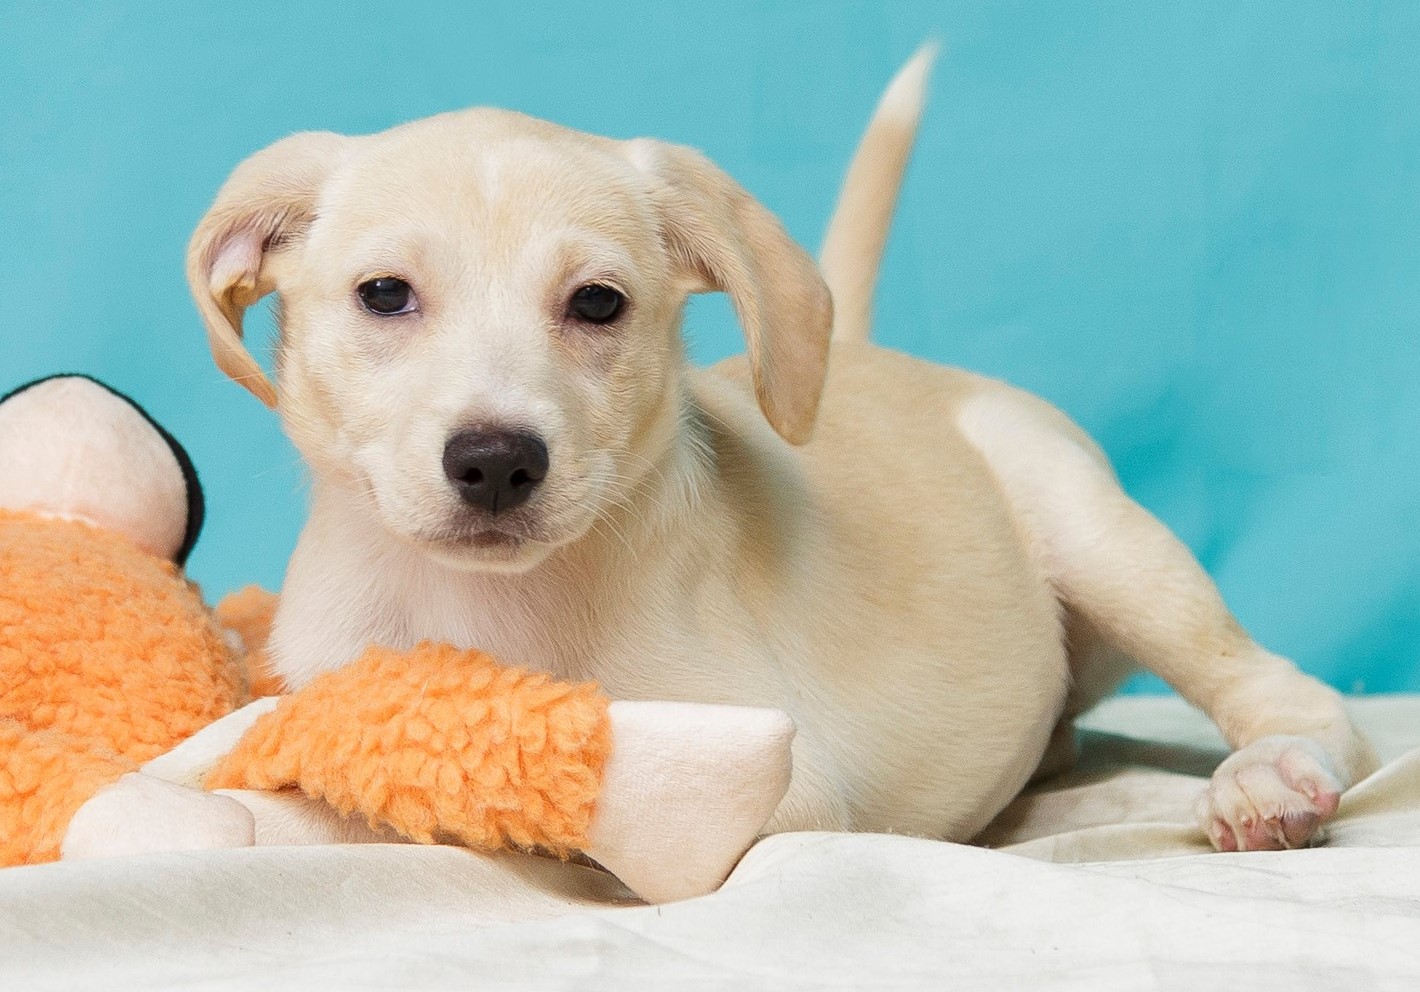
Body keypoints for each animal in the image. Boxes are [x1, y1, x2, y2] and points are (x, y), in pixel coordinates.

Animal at [186, 48, 1374, 851]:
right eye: (384, 295)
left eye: (598, 303)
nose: (494, 461)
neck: (479, 606)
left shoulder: (768, 778)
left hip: (1103, 539)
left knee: (1288, 689)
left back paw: (1270, 775)